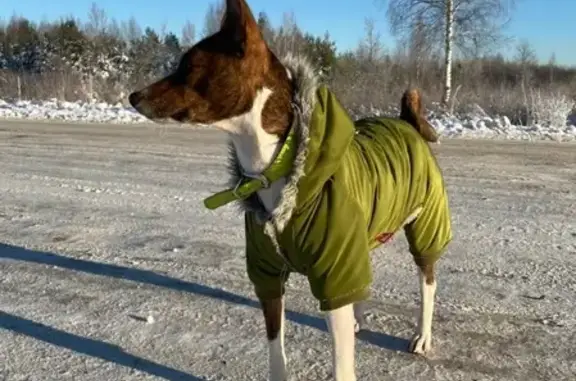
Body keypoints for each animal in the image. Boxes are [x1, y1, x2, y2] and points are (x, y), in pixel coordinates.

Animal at [128, 1, 452, 378]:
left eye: (188, 67)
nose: (133, 96)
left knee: (428, 281)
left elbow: (342, 365)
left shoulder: (332, 272)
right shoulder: (268, 277)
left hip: (425, 226)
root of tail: (406, 120)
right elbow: (275, 349)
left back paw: (422, 334)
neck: (274, 169)